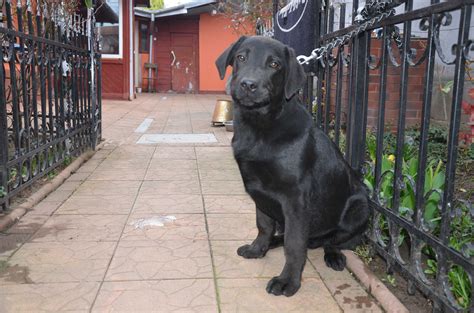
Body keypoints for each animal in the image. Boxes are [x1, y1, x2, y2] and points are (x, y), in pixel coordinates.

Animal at [215, 35, 370, 296]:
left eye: (274, 64)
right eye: (241, 57)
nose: (248, 84)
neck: (261, 126)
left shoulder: (295, 199)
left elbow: (295, 244)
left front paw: (288, 281)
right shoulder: (259, 192)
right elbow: (264, 225)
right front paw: (258, 248)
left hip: (360, 206)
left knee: (333, 240)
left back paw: (333, 255)